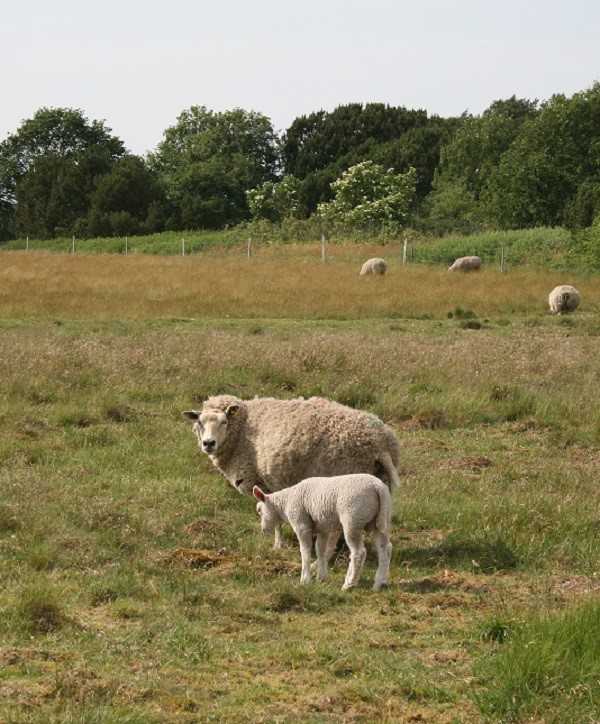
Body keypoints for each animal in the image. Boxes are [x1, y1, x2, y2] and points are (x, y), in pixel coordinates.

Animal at [180, 396, 400, 548]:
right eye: (199, 422)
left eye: (224, 422)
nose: (208, 443)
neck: (242, 429)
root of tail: (378, 442)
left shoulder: (261, 480)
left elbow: (272, 512)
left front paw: (278, 544)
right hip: (379, 485)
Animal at [254, 472, 392, 592]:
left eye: (259, 511)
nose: (263, 530)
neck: (285, 503)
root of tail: (378, 487)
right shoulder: (322, 528)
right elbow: (320, 550)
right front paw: (321, 577)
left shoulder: (301, 525)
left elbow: (305, 552)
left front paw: (305, 580)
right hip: (379, 520)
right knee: (385, 548)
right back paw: (380, 582)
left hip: (352, 519)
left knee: (359, 553)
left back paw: (349, 584)